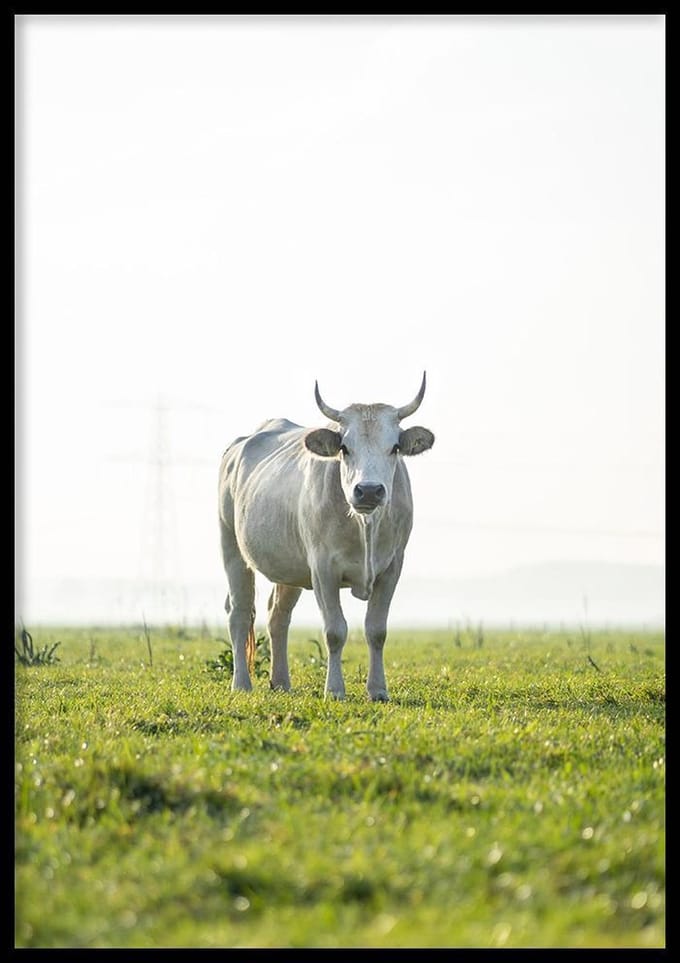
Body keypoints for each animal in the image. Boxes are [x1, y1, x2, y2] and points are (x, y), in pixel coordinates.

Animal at [218, 373, 434, 701]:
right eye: (344, 447)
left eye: (395, 447)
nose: (368, 490)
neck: (364, 525)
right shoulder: (323, 570)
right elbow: (335, 631)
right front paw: (334, 690)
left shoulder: (391, 568)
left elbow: (376, 631)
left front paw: (378, 690)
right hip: (232, 548)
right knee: (240, 613)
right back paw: (241, 683)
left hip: (290, 567)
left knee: (278, 616)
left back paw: (281, 682)